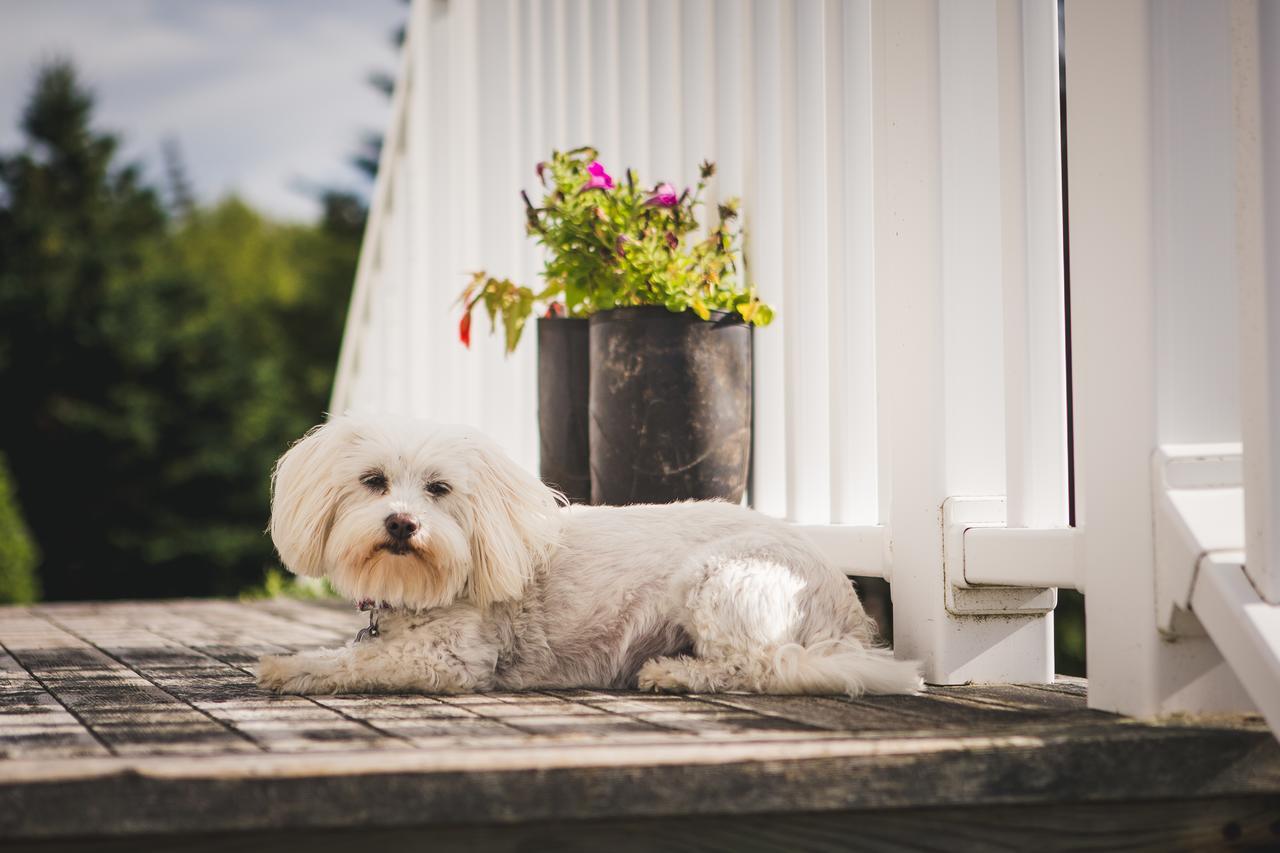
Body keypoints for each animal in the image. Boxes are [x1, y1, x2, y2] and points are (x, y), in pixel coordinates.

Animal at [257, 412, 921, 696]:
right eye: (372, 481)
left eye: (439, 489)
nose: (401, 523)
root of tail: (845, 612)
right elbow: (355, 652)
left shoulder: (451, 660)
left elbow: (361, 662)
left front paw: (289, 667)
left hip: (716, 579)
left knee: (760, 667)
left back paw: (671, 674)